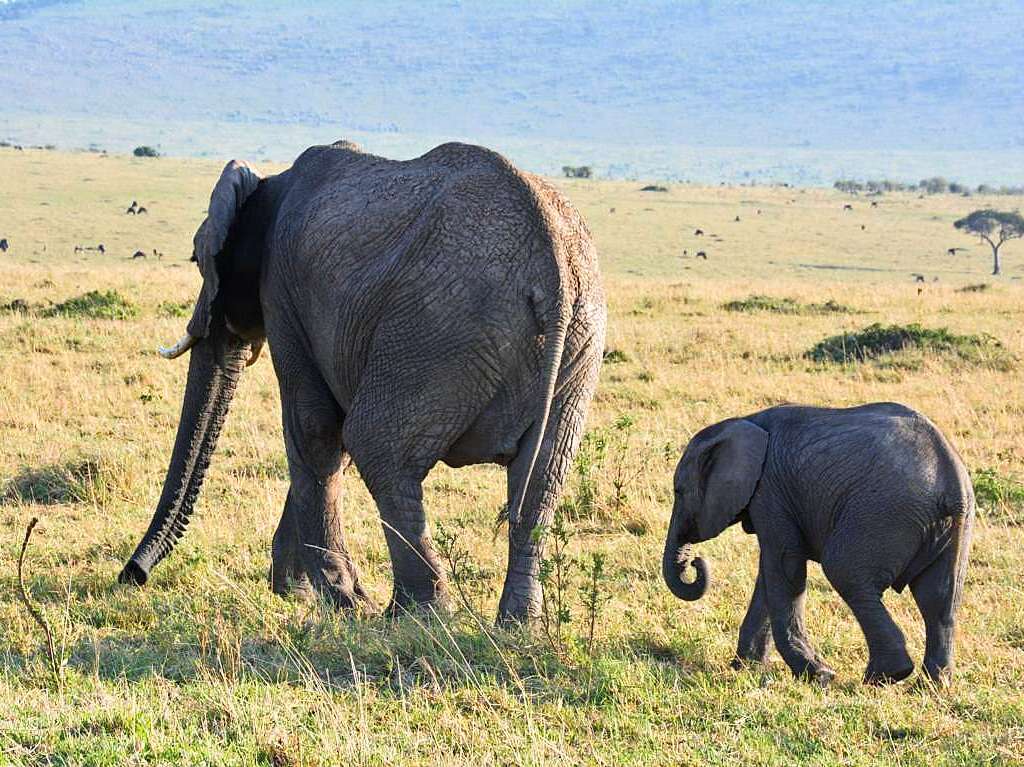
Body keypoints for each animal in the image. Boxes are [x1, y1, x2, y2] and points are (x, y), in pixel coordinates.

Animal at [116, 142, 602, 622]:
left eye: (198, 258)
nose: (132, 576)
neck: (270, 184)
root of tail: (552, 272)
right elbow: (332, 441)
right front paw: (296, 593)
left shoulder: (284, 291)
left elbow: (315, 429)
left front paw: (336, 600)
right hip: (576, 343)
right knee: (543, 478)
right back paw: (518, 624)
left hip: (439, 329)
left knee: (377, 444)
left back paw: (414, 614)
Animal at [663, 403, 974, 684]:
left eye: (679, 491)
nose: (694, 562)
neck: (745, 421)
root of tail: (951, 480)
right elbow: (770, 576)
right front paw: (746, 668)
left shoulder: (770, 492)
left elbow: (784, 568)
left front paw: (819, 676)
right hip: (953, 527)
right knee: (939, 598)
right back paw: (931, 685)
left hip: (881, 515)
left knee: (845, 573)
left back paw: (885, 675)